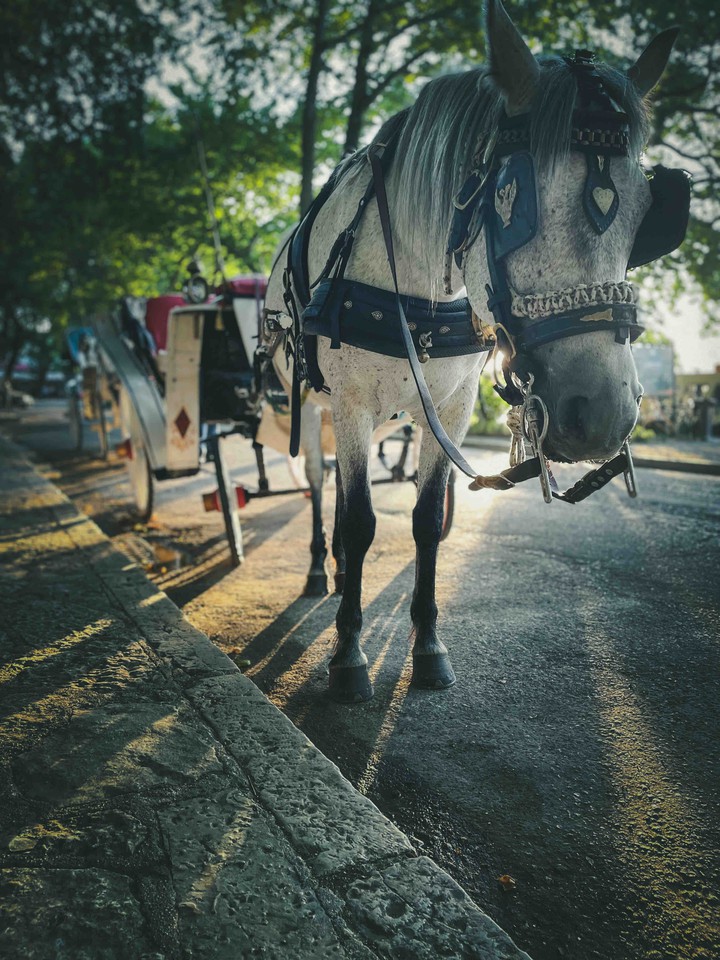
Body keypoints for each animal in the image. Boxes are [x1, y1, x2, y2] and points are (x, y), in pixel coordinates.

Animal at [262, 0, 688, 703]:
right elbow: (361, 521)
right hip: (316, 408)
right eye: (513, 201)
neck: (414, 286)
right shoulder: (350, 404)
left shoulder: (453, 406)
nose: (601, 413)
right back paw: (323, 571)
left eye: (649, 210)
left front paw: (428, 647)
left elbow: (426, 519)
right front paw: (348, 656)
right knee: (325, 491)